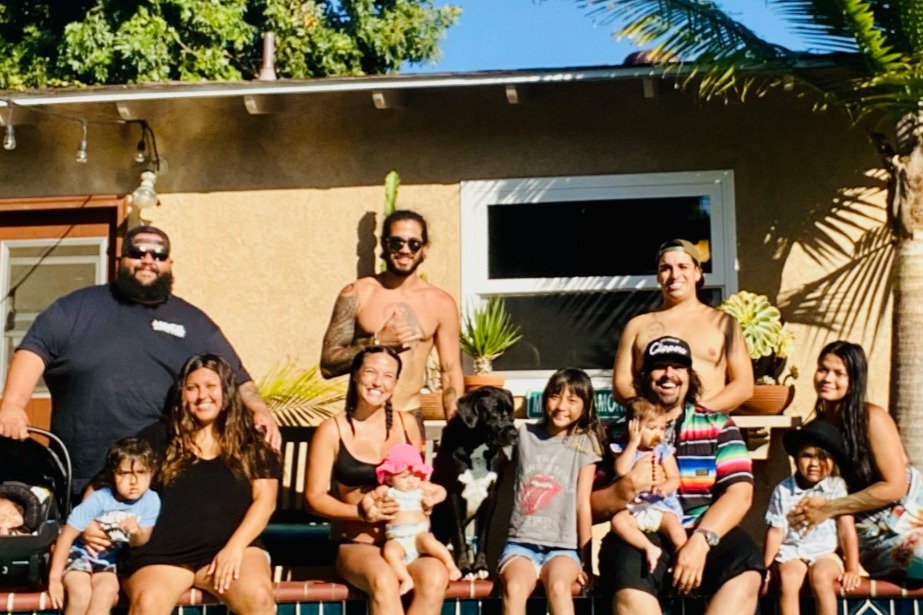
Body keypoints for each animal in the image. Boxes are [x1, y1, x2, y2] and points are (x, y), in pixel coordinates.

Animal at [430, 386, 518, 578]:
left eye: (511, 412)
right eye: (494, 411)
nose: (515, 434)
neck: (477, 446)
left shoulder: (491, 497)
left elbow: (483, 536)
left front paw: (480, 567)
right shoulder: (452, 495)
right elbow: (459, 537)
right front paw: (464, 568)